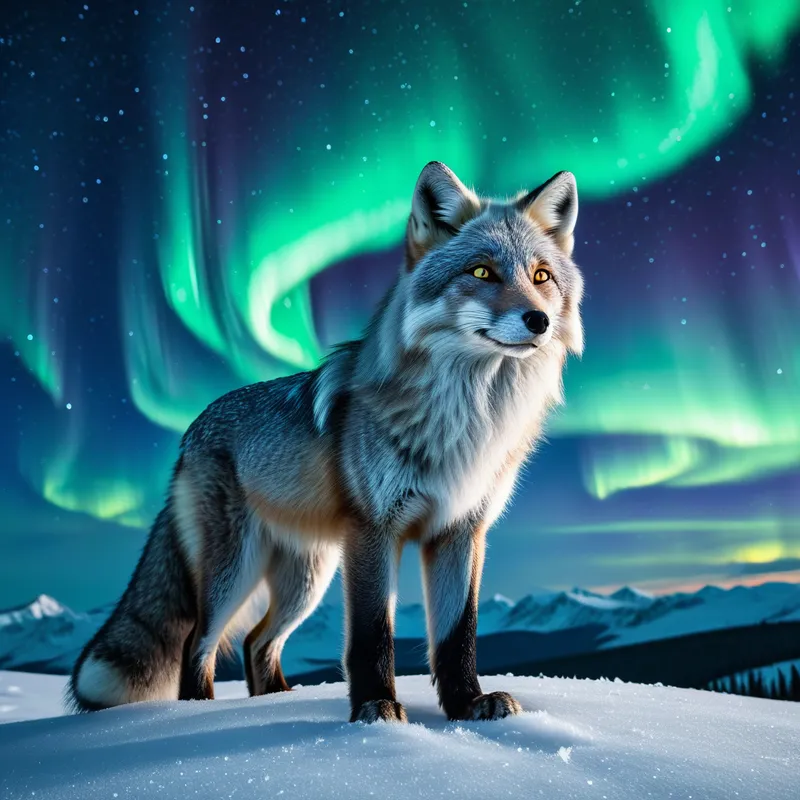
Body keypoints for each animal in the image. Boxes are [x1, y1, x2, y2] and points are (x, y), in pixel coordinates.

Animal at [67, 161, 584, 723]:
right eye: (483, 273)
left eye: (541, 277)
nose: (538, 320)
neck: (466, 423)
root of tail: (190, 432)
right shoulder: (374, 529)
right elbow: (372, 635)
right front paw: (377, 707)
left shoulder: (461, 530)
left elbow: (457, 636)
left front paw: (467, 704)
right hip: (236, 572)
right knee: (197, 643)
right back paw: (200, 715)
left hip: (306, 579)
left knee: (255, 642)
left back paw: (272, 702)